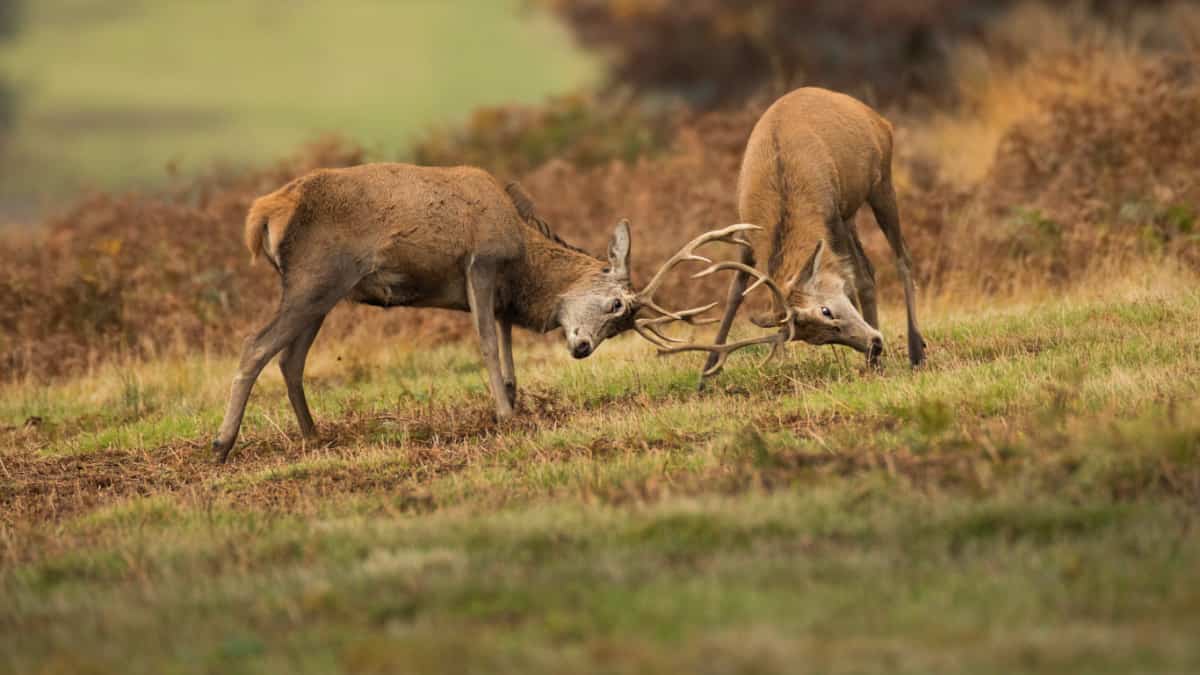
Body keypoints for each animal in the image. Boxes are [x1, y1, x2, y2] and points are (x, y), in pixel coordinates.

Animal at [210, 162, 753, 462]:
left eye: (619, 328)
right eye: (616, 305)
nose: (581, 347)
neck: (524, 257)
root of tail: (266, 213)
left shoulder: (501, 294)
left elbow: (507, 346)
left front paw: (514, 400)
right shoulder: (481, 262)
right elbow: (489, 345)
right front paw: (505, 414)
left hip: (325, 292)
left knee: (289, 358)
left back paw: (313, 435)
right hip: (315, 277)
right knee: (255, 345)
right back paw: (222, 444)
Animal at [652, 87, 928, 382]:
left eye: (826, 310)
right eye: (818, 339)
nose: (875, 344)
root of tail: (877, 118)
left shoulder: (832, 214)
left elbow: (855, 278)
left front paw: (876, 363)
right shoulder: (746, 234)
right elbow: (734, 292)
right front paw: (707, 372)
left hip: (880, 184)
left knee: (899, 258)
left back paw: (916, 351)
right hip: (852, 211)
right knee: (871, 267)